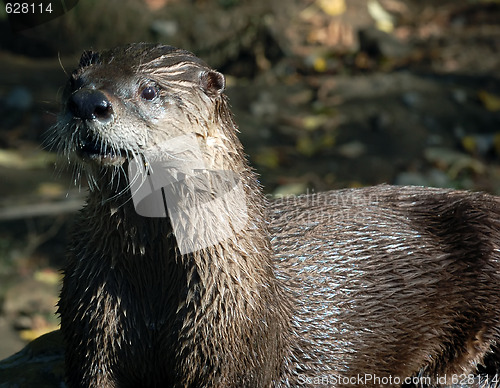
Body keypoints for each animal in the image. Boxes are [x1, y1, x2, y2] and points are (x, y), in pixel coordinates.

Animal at [49, 43, 500, 388]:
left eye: (149, 90)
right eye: (74, 82)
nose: (86, 103)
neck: (156, 281)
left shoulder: (230, 342)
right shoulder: (92, 321)